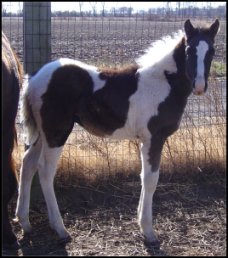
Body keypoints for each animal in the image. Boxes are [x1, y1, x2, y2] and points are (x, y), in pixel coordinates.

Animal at [15, 19, 219, 246]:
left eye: (212, 51)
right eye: (189, 50)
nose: (199, 86)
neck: (163, 83)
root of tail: (33, 79)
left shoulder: (145, 140)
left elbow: (143, 177)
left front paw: (140, 223)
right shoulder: (154, 138)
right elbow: (151, 180)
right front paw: (148, 231)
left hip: (43, 133)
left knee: (28, 163)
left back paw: (25, 222)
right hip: (57, 132)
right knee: (44, 170)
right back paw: (60, 229)